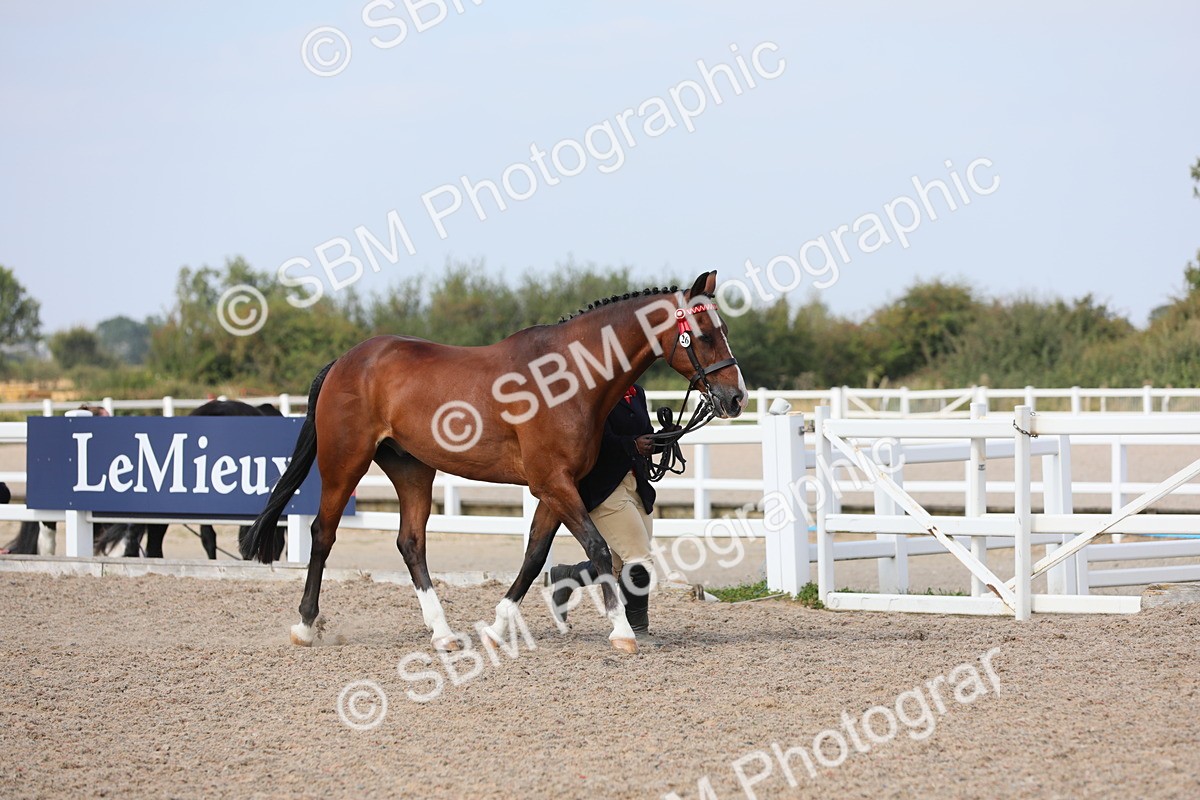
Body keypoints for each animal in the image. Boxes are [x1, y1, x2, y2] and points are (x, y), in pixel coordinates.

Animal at [242, 271, 746, 655]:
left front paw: (497, 627)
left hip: (412, 469)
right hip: (344, 463)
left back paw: (444, 634)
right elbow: (598, 549)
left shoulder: (556, 487)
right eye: (704, 334)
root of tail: (345, 361)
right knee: (323, 534)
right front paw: (622, 632)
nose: (735, 397)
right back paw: (305, 626)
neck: (569, 376)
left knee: (411, 543)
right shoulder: (554, 483)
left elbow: (534, 555)